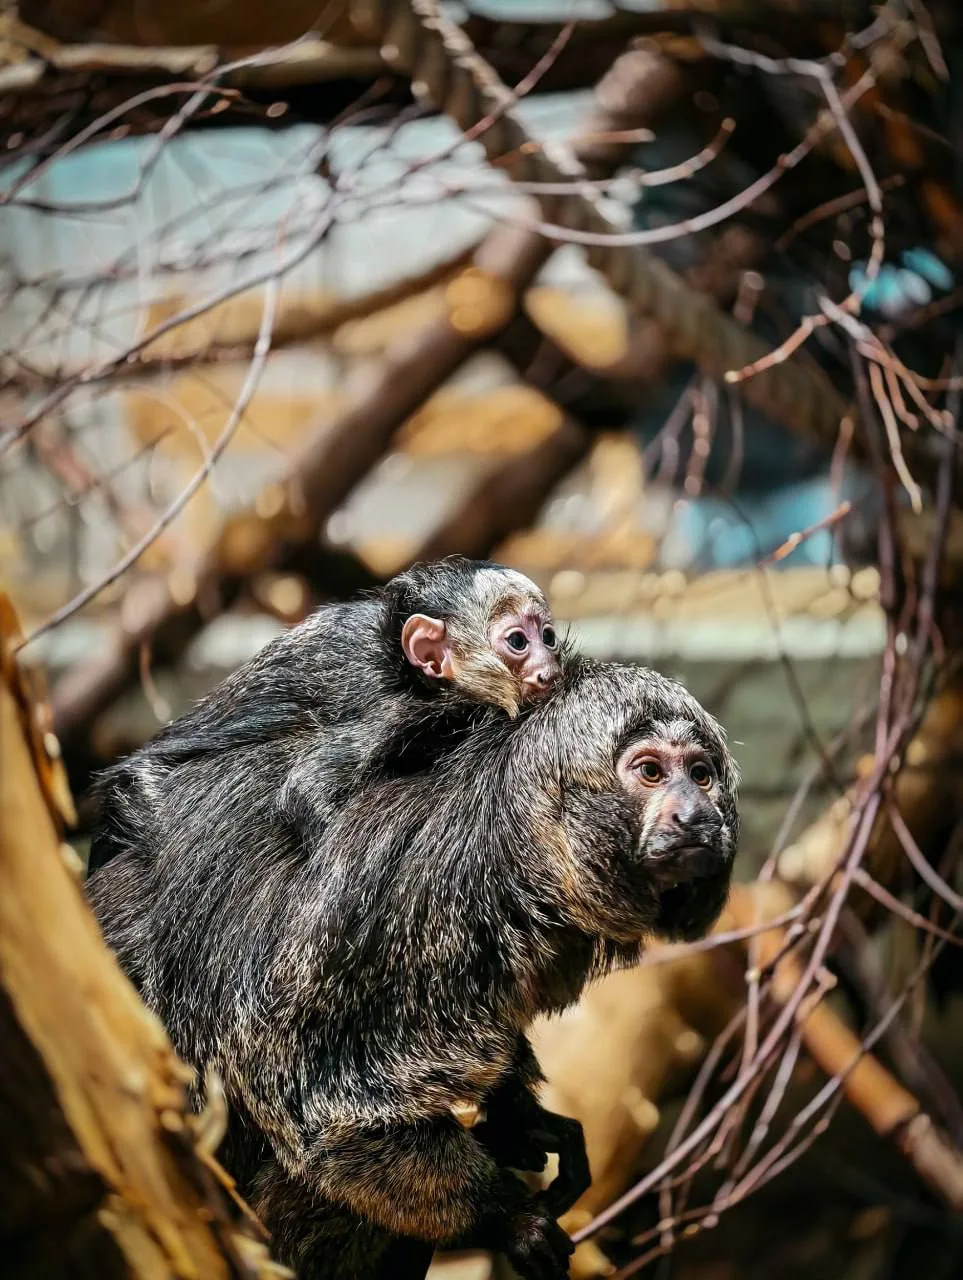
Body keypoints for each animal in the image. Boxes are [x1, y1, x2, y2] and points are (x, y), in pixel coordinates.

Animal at [87, 556, 566, 878]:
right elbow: (303, 789)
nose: (550, 670)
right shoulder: (388, 702)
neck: (398, 661)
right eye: (518, 641)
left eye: (548, 637)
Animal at [87, 657, 739, 1280]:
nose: (696, 815)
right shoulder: (405, 907)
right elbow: (323, 1108)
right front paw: (507, 1217)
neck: (520, 855)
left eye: (701, 775)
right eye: (650, 772)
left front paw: (525, 1122)